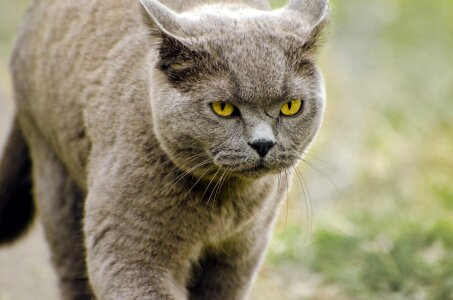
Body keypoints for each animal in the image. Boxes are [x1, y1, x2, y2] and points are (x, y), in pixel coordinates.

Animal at [0, 0, 326, 298]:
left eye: (291, 106)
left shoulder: (241, 254)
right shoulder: (130, 251)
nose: (263, 143)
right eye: (223, 108)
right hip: (55, 173)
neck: (223, 209)